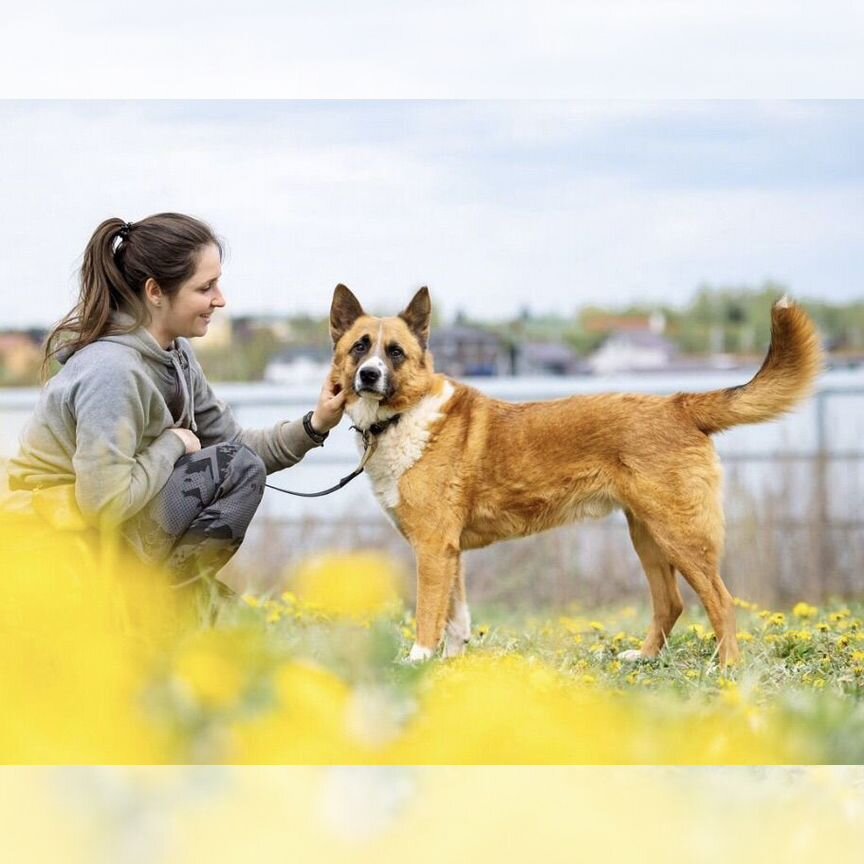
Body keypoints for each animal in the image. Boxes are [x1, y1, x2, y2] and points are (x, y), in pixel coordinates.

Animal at [330, 286, 824, 664]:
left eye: (396, 353)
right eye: (360, 347)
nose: (369, 375)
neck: (404, 417)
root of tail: (678, 404)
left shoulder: (434, 550)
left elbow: (428, 615)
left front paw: (418, 662)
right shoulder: (450, 552)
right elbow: (456, 618)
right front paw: (449, 667)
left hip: (680, 536)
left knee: (720, 600)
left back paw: (727, 670)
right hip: (647, 535)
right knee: (671, 603)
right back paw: (645, 659)